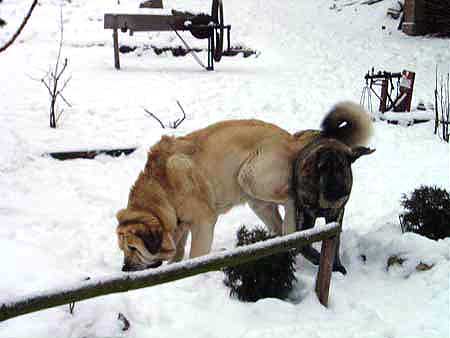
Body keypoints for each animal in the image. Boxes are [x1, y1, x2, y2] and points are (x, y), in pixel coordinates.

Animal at [116, 101, 372, 270]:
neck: (162, 189)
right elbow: (177, 251)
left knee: (291, 199)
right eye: (124, 249)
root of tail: (292, 138)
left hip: (250, 176)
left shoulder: (204, 223)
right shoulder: (182, 225)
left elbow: (196, 255)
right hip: (257, 201)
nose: (125, 269)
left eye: (133, 248)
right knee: (280, 228)